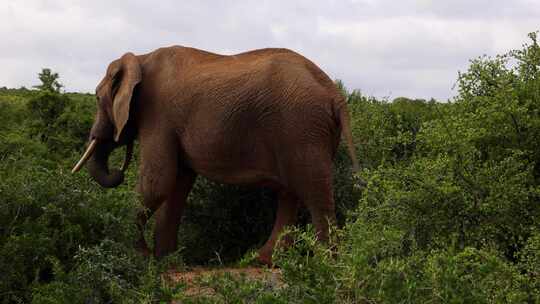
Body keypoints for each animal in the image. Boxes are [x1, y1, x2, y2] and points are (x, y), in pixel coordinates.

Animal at [71, 45, 358, 266]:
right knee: (291, 194)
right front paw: (166, 260)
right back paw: (265, 261)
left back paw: (325, 266)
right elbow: (178, 184)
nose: (117, 172)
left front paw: (139, 257)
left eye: (96, 98)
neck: (140, 58)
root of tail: (335, 94)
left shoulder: (159, 115)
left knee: (314, 194)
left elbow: (159, 181)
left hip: (302, 127)